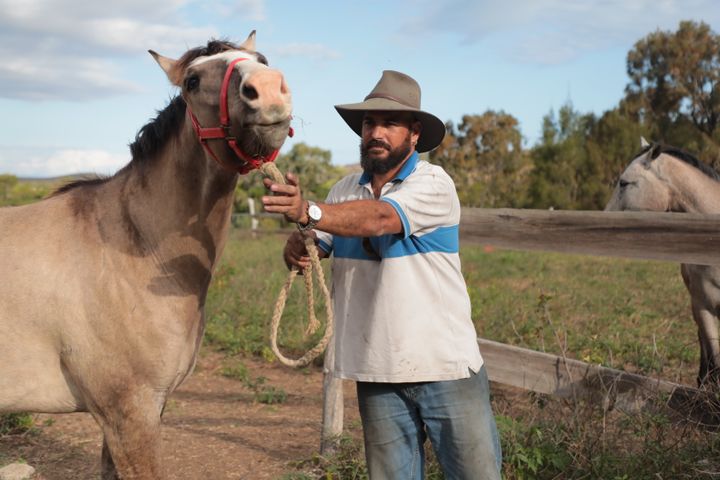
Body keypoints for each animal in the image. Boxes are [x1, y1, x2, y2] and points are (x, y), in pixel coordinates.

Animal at [0, 31, 292, 478]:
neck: (136, 248)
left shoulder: (141, 412)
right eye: (191, 81)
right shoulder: (130, 413)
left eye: (261, 59)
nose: (270, 90)